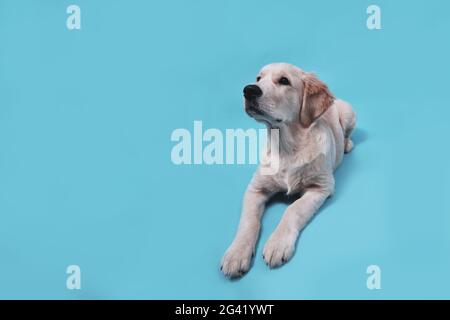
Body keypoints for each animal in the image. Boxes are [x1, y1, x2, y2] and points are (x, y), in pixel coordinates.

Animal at [221, 62, 356, 278]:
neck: (287, 146)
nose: (249, 90)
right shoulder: (255, 189)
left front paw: (277, 244)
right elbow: (248, 221)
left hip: (348, 112)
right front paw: (236, 253)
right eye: (258, 78)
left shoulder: (321, 187)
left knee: (346, 133)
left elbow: (293, 210)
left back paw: (347, 144)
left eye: (284, 80)